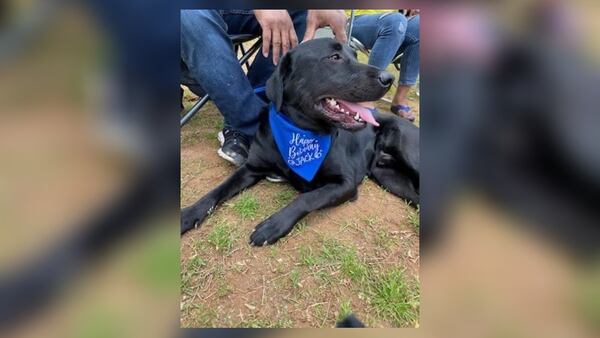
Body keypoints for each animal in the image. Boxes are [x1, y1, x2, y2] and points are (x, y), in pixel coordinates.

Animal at [180, 38, 420, 246]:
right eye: (334, 57)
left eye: (354, 55)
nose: (388, 78)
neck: (301, 131)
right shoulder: (251, 168)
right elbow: (218, 190)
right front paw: (189, 214)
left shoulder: (345, 183)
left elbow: (307, 198)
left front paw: (273, 225)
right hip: (390, 178)